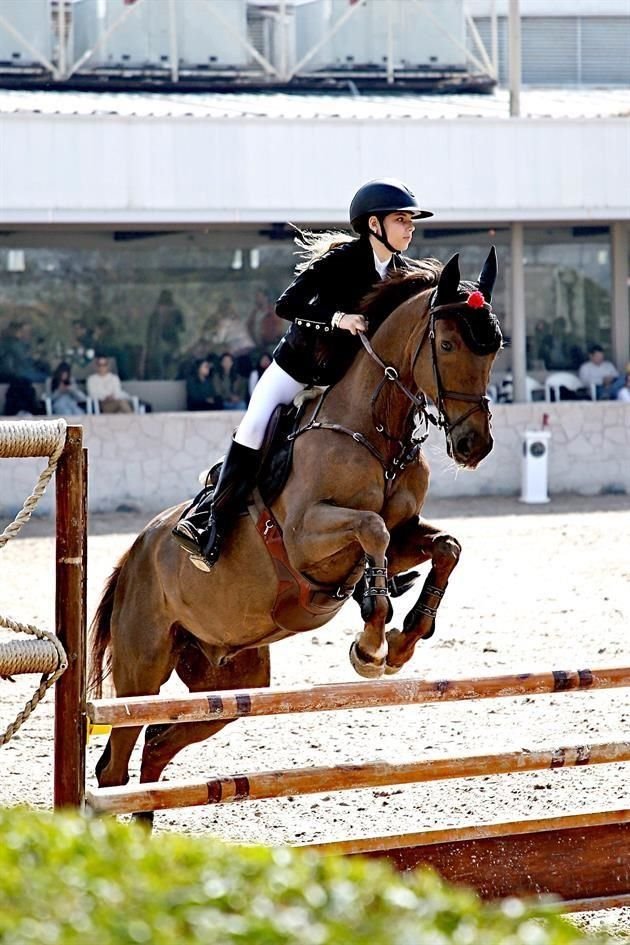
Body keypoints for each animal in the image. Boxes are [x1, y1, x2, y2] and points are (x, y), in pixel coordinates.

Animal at [89, 249, 504, 804]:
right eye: (447, 344)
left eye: (495, 348)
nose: (474, 446)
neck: (375, 430)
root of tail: (132, 556)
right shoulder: (307, 537)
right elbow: (372, 528)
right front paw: (370, 647)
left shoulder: (401, 537)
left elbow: (445, 547)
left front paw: (403, 641)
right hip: (142, 670)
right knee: (115, 764)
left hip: (230, 681)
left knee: (155, 746)